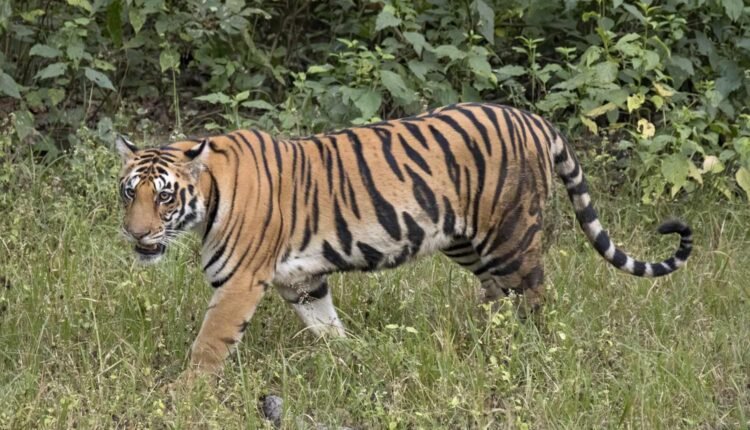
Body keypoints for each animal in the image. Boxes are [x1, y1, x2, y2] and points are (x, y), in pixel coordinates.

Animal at [115, 102, 692, 375]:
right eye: (128, 193)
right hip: (468, 242)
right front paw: (352, 359)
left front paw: (186, 397)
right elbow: (326, 326)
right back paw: (486, 342)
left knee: (534, 297)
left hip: (510, 237)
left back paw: (531, 351)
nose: (136, 234)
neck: (208, 197)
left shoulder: (239, 284)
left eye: (164, 197)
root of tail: (532, 118)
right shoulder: (301, 280)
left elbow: (208, 345)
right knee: (498, 296)